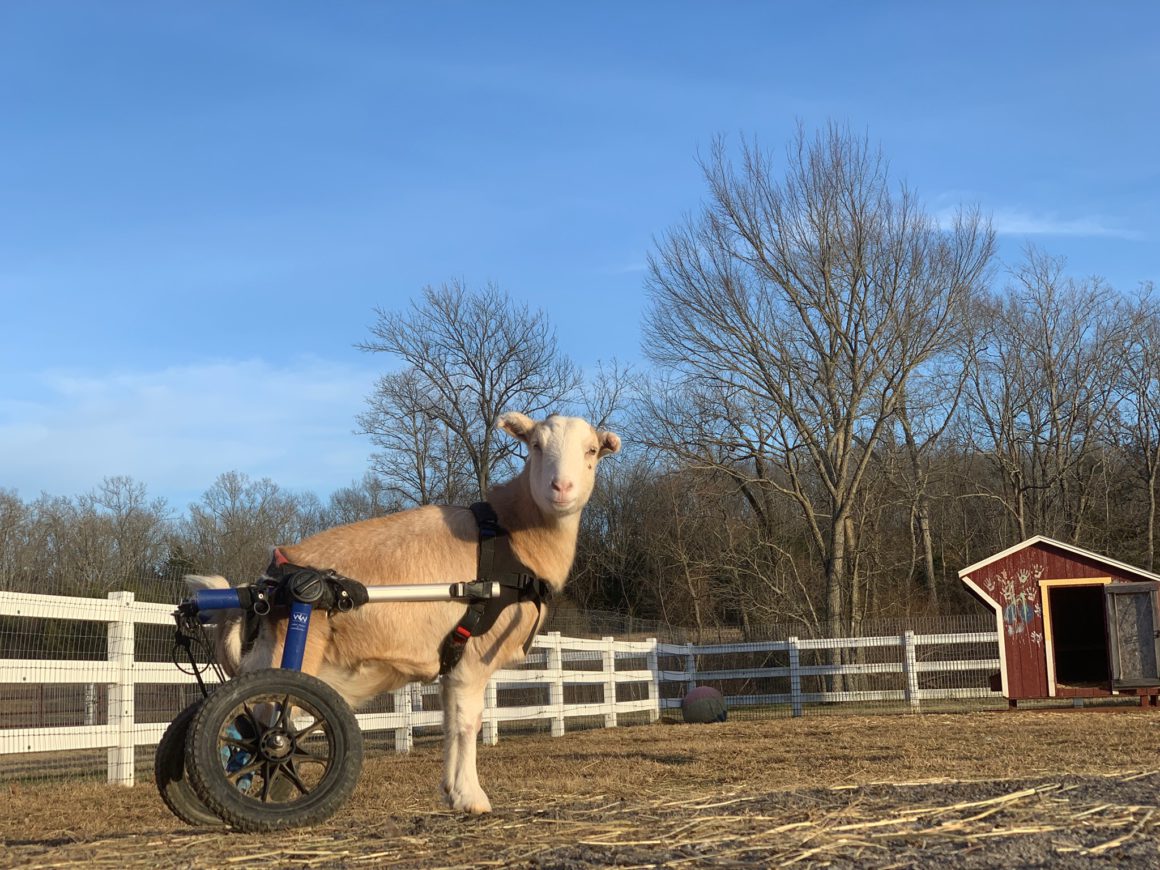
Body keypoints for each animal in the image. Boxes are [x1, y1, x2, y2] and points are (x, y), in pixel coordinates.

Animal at [186, 411, 621, 814]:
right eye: (535, 446)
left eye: (591, 451)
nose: (561, 488)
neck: (515, 535)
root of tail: (268, 578)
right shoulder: (474, 655)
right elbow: (469, 724)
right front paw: (472, 798)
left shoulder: (453, 660)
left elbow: (451, 724)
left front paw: (452, 791)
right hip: (292, 655)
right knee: (262, 722)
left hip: (270, 651)